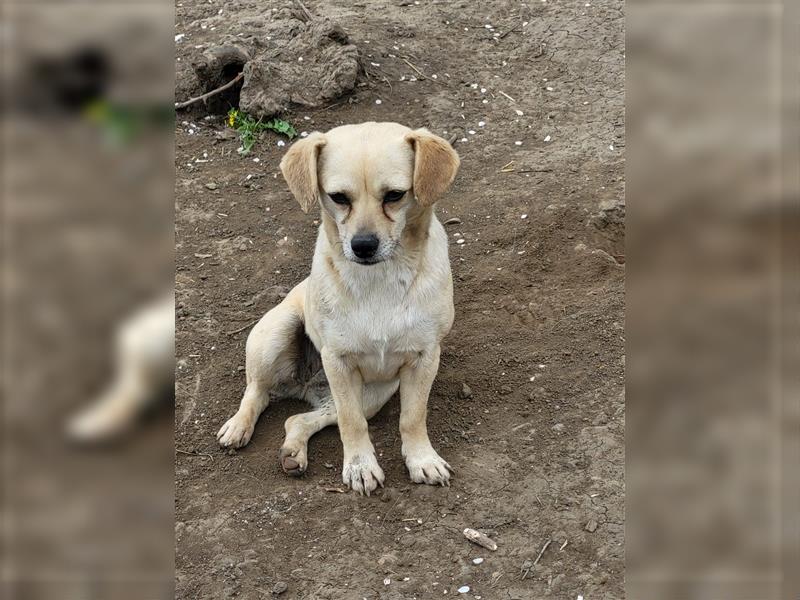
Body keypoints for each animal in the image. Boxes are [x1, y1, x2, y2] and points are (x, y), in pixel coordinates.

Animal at [216, 122, 460, 496]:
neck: (379, 279)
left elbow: (412, 417)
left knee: (296, 418)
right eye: (338, 197)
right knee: (257, 392)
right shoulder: (338, 361)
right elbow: (352, 423)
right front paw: (360, 467)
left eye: (395, 195)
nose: (363, 246)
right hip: (275, 335)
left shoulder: (424, 357)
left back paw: (293, 453)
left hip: (373, 395)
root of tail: (304, 385)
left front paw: (422, 459)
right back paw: (238, 426)